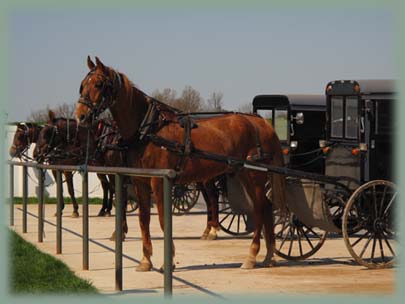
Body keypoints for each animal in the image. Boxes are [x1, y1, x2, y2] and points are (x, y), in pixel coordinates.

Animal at [75, 57, 284, 270]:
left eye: (99, 84)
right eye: (82, 85)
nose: (80, 116)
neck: (147, 129)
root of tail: (261, 123)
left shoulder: (158, 182)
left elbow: (162, 219)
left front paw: (168, 260)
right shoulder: (140, 181)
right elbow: (144, 219)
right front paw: (145, 260)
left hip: (254, 176)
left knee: (259, 209)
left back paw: (252, 256)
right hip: (242, 175)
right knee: (266, 208)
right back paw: (269, 256)